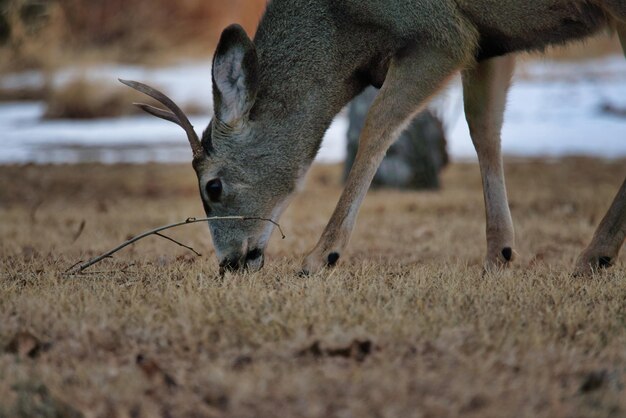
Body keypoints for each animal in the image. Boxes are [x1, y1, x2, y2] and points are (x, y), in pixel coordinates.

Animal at [120, 0, 624, 278]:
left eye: (213, 186)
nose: (229, 263)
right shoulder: (488, 40)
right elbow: (484, 127)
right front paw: (499, 254)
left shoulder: (443, 34)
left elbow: (377, 124)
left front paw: (321, 256)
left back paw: (593, 256)